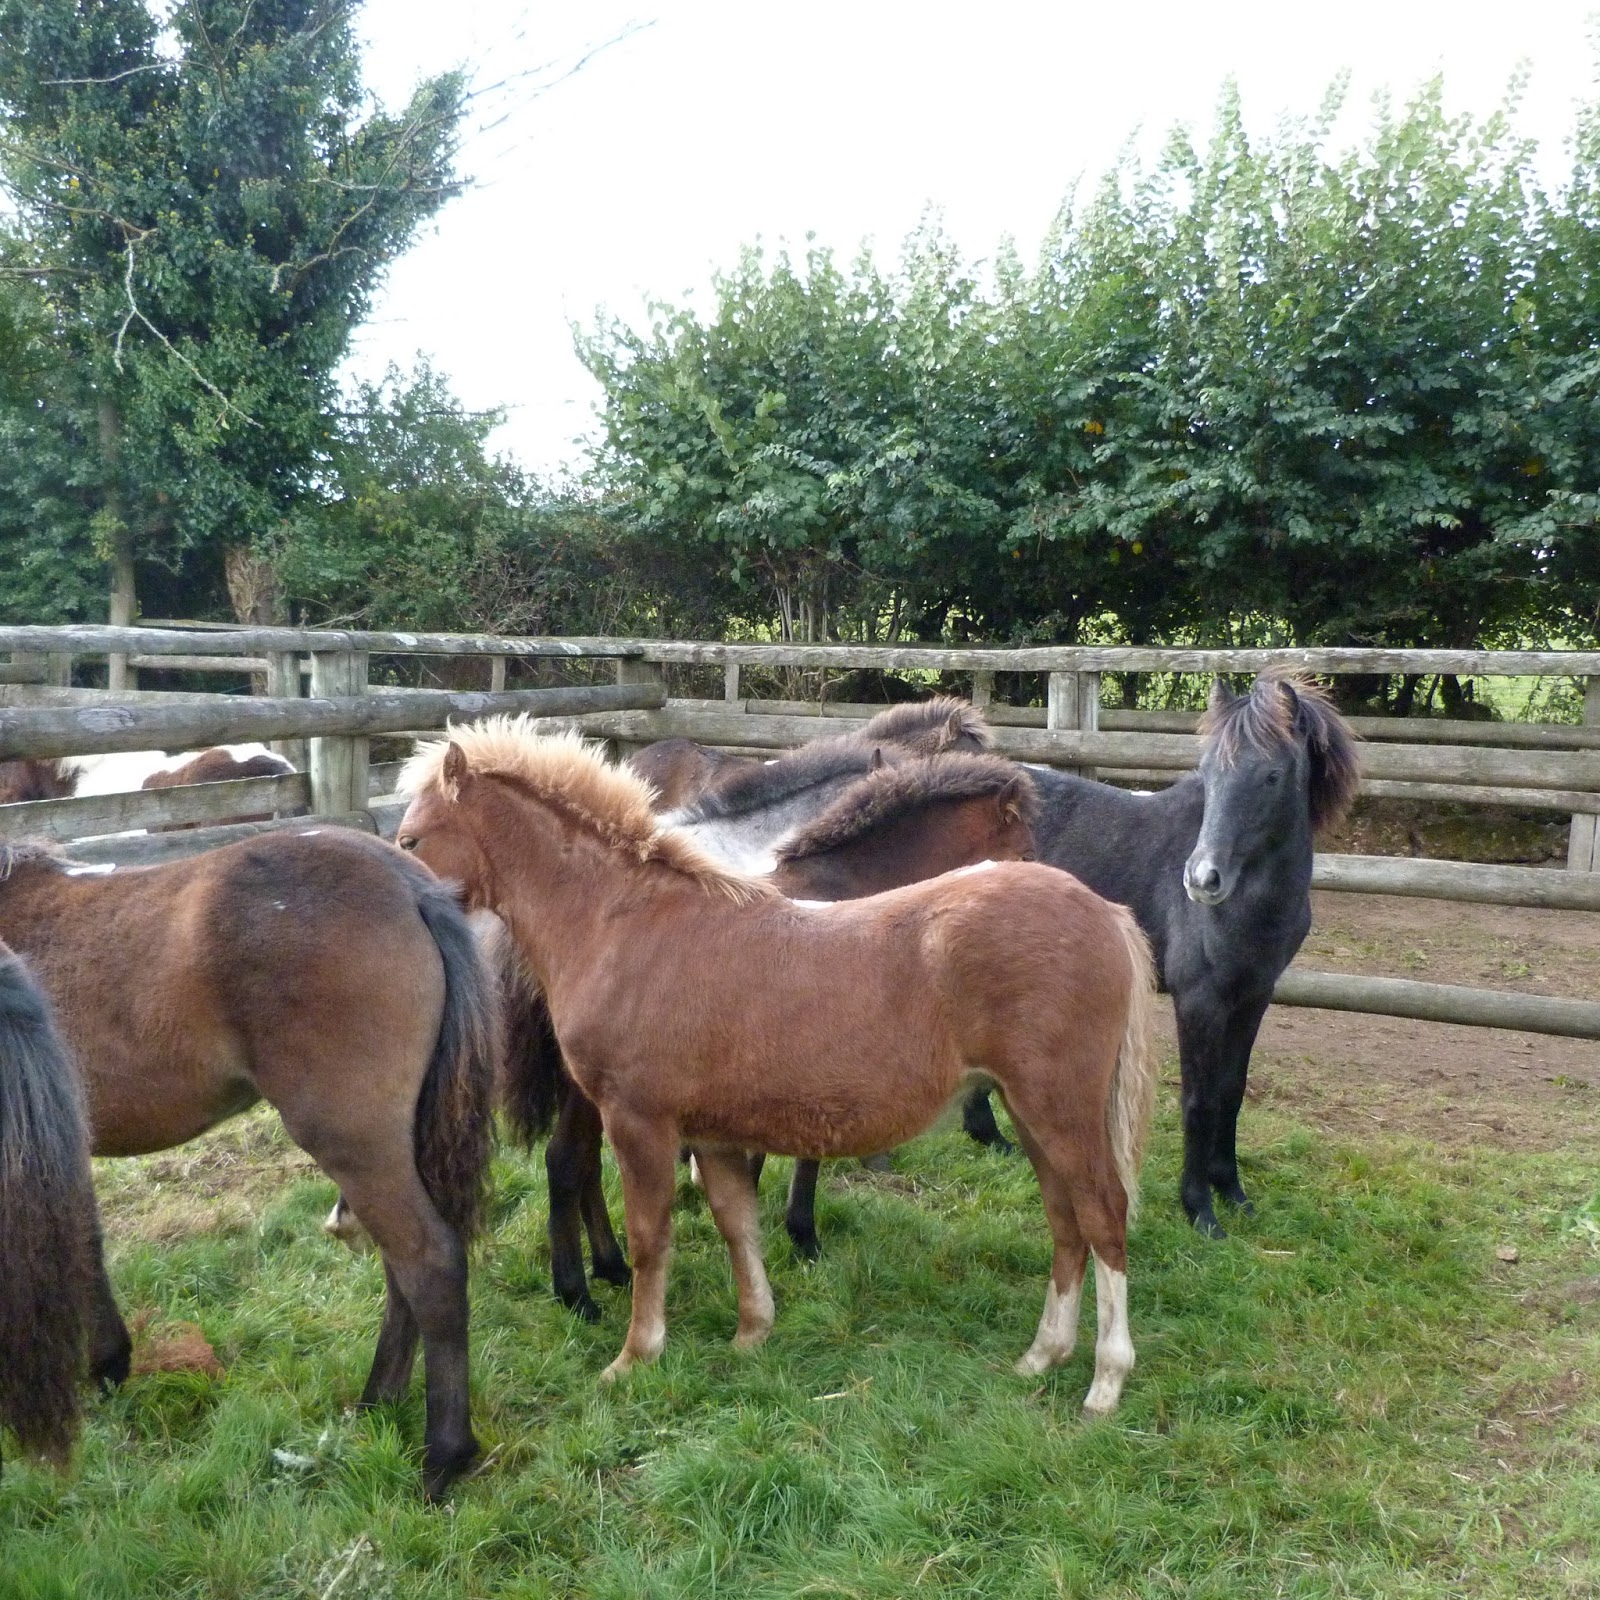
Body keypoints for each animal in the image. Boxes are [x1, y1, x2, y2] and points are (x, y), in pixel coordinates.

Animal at [0, 831, 499, 1496]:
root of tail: (409, 886)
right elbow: (85, 1242)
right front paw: (108, 1366)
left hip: (357, 1147)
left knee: (428, 1260)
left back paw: (443, 1454)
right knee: (404, 1266)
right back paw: (377, 1403)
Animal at [395, 719, 1157, 1417]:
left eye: (411, 840)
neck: (625, 923)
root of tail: (1104, 911)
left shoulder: (641, 1121)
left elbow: (653, 1237)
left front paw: (635, 1355)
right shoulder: (710, 1133)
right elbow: (737, 1223)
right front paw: (752, 1332)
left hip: (1058, 1108)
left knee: (1102, 1215)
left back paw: (1105, 1381)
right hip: (1031, 1111)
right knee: (1065, 1220)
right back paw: (1042, 1354)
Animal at [965, 670, 1360, 1237]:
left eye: (1272, 776)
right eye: (1208, 773)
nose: (1202, 879)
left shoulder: (1253, 997)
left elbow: (1231, 1092)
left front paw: (1232, 1191)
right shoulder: (1199, 1000)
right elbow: (1198, 1098)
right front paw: (1199, 1208)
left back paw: (990, 1137)